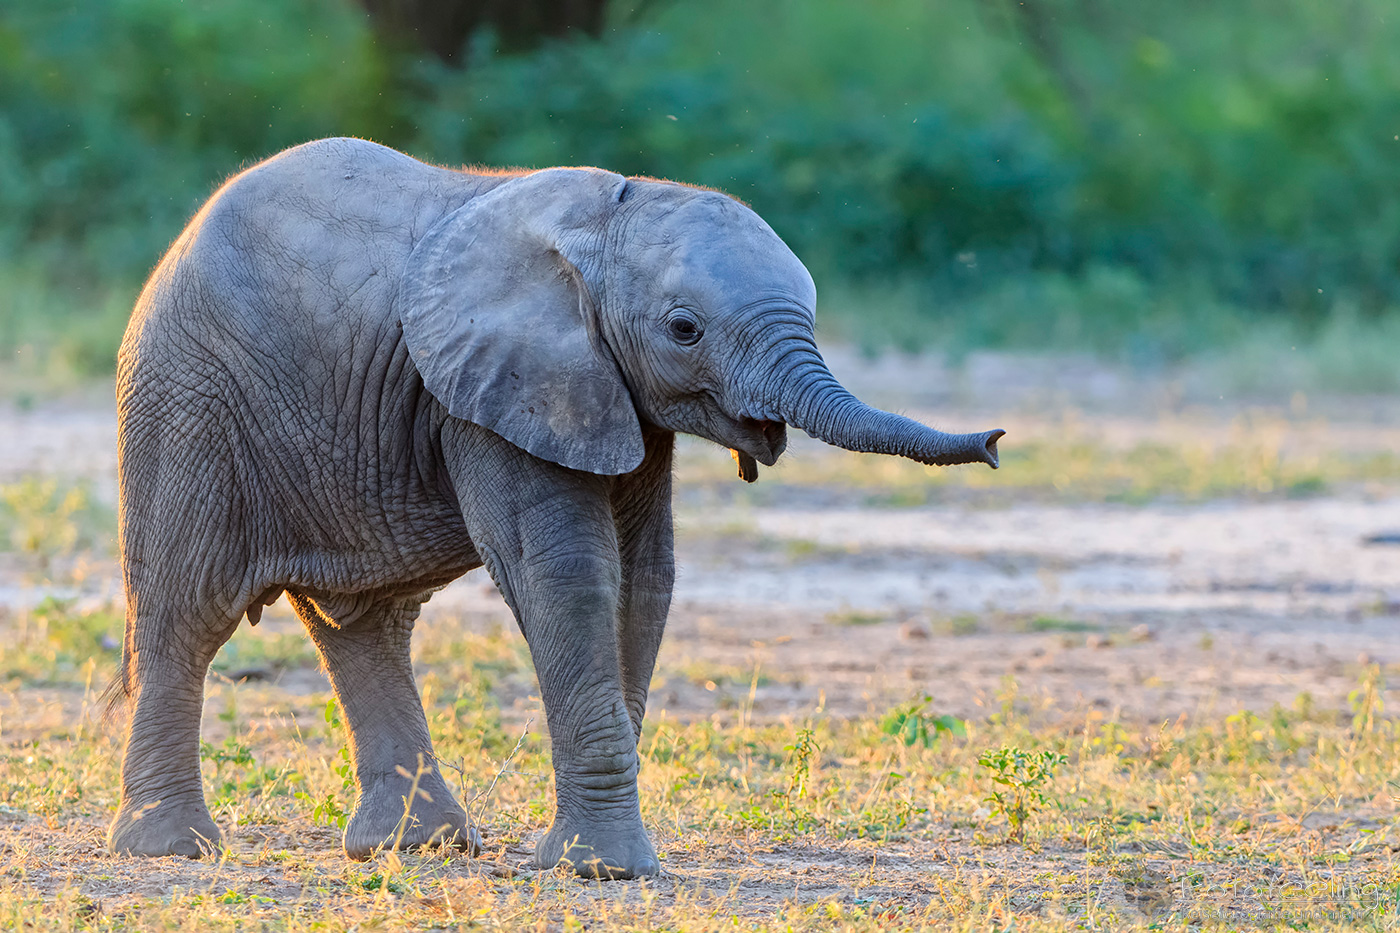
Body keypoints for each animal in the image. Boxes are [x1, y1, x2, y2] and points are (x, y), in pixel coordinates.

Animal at [106, 136, 1003, 878]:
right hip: (184, 398)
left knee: (362, 622)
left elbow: (644, 576)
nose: (996, 440)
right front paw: (601, 869)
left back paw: (416, 847)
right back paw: (172, 849)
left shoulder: (613, 396)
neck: (603, 223)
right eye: (684, 329)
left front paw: (596, 854)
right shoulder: (492, 390)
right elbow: (566, 572)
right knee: (186, 611)